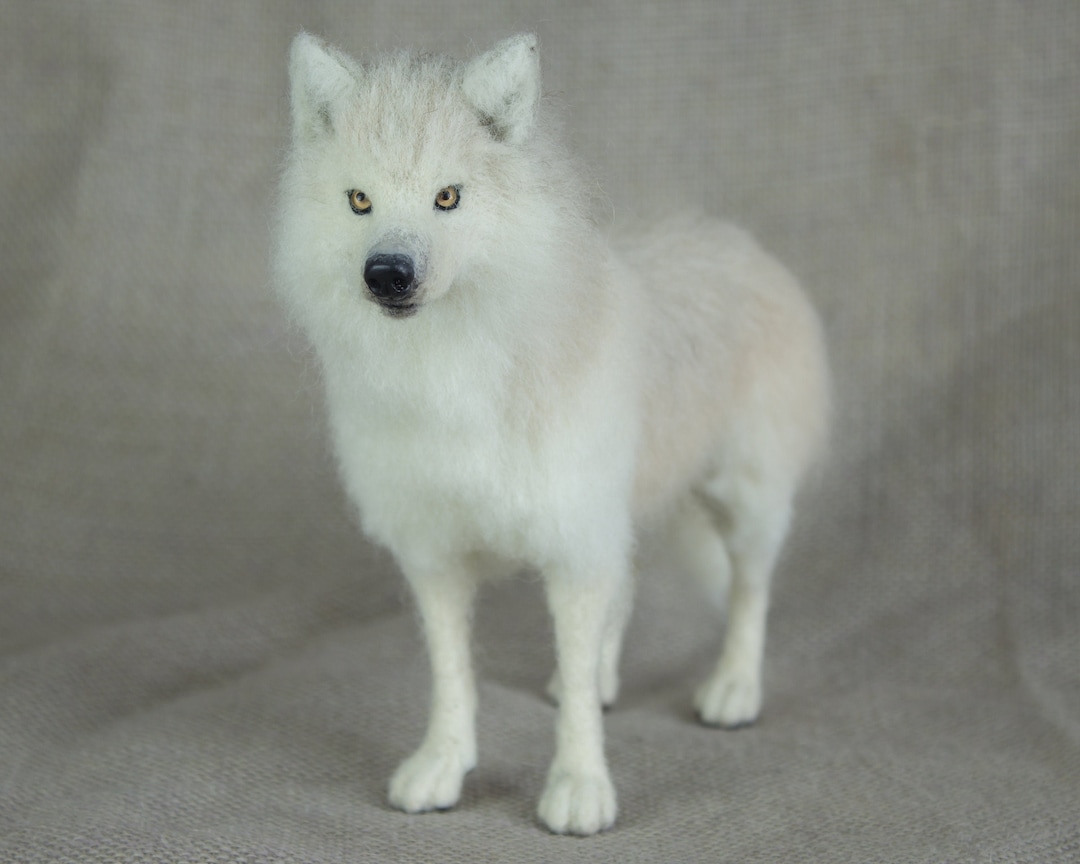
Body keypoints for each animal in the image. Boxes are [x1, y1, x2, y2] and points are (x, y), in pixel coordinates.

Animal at [275, 32, 829, 835]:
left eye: (448, 197)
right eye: (359, 200)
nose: (387, 274)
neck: (457, 367)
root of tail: (742, 244)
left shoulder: (572, 545)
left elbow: (573, 694)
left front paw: (578, 787)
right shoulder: (437, 556)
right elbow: (453, 677)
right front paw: (442, 765)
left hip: (745, 501)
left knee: (750, 593)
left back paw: (733, 691)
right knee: (629, 585)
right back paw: (605, 678)